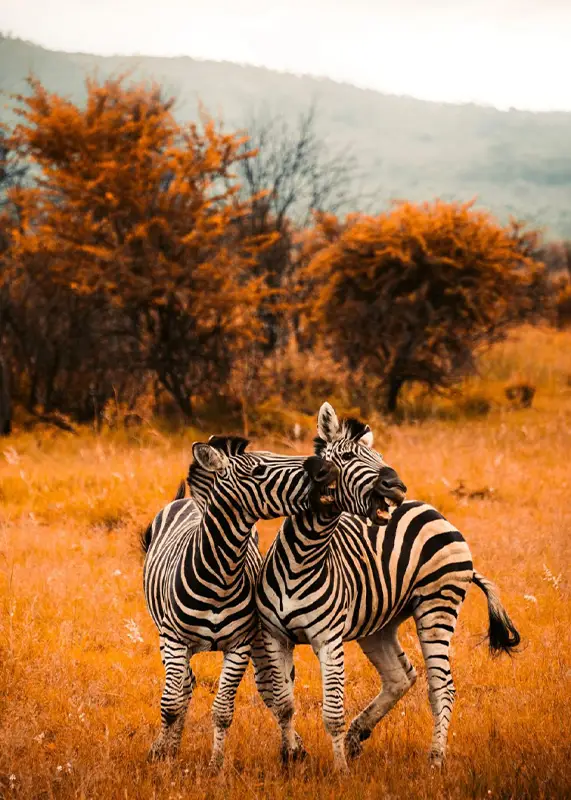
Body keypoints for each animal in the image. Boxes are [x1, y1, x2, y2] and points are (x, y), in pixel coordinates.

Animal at [141, 433, 340, 772]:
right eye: (258, 470)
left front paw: (215, 765)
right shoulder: (175, 639)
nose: (324, 469)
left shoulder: (240, 645)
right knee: (183, 687)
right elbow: (170, 704)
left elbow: (222, 710)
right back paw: (170, 746)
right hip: (165, 636)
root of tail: (189, 500)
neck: (220, 573)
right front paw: (162, 758)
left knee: (267, 687)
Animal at [256, 402, 520, 772]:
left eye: (380, 456)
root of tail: (434, 511)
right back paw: (358, 736)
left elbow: (332, 713)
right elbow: (283, 704)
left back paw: (435, 759)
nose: (396, 485)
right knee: (401, 676)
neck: (303, 557)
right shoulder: (274, 635)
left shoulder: (328, 639)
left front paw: (340, 772)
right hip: (379, 622)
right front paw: (291, 758)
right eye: (348, 456)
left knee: (442, 687)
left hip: (436, 607)